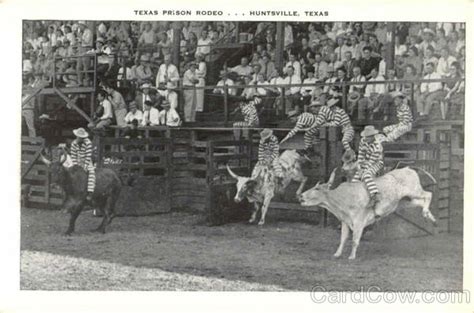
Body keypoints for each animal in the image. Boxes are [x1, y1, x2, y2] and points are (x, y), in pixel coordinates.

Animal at [300, 166, 436, 258]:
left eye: (317, 188)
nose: (301, 196)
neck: (344, 197)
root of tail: (408, 168)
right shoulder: (345, 221)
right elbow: (343, 238)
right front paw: (337, 254)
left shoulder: (359, 221)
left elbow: (355, 240)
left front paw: (352, 256)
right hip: (405, 202)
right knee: (421, 202)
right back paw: (430, 217)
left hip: (414, 191)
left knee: (428, 194)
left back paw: (427, 213)